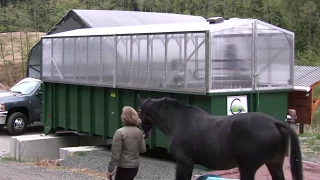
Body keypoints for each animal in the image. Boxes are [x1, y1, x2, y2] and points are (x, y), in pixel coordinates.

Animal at [136, 95, 304, 179]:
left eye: (139, 111)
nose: (142, 130)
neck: (178, 120)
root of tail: (274, 123)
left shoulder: (184, 163)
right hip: (274, 164)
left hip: (248, 168)